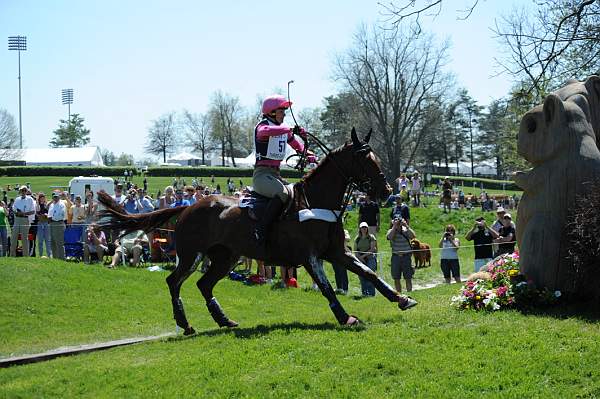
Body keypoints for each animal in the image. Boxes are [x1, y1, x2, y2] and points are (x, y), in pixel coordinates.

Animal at [98, 130, 418, 336]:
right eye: (365, 160)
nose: (386, 192)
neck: (317, 201)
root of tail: (187, 206)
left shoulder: (338, 252)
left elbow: (370, 273)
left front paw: (402, 299)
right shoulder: (310, 257)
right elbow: (327, 286)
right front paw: (345, 317)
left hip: (225, 257)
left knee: (204, 284)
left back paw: (224, 321)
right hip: (191, 255)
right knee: (174, 282)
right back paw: (186, 325)